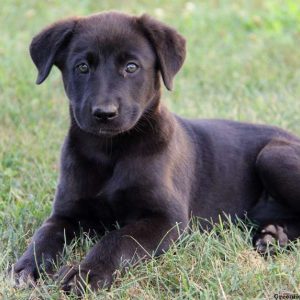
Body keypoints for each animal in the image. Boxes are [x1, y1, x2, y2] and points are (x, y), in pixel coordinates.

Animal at [12, 11, 300, 292]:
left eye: (131, 67)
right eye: (82, 67)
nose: (104, 113)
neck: (111, 152)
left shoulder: (167, 219)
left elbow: (119, 238)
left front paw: (87, 272)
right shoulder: (66, 213)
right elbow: (44, 235)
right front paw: (28, 268)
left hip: (272, 156)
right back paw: (274, 236)